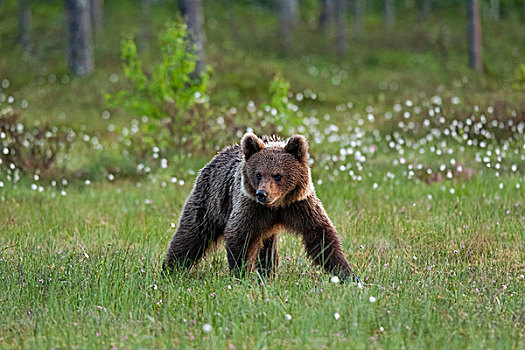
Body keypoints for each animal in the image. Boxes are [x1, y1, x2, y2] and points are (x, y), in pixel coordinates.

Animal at [162, 133, 354, 280]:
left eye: (278, 175)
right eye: (258, 174)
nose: (262, 194)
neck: (277, 206)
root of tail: (216, 156)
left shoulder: (299, 205)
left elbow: (320, 235)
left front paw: (347, 274)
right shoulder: (250, 207)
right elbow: (240, 235)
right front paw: (241, 274)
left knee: (267, 248)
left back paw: (267, 273)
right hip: (209, 202)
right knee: (191, 234)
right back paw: (170, 269)